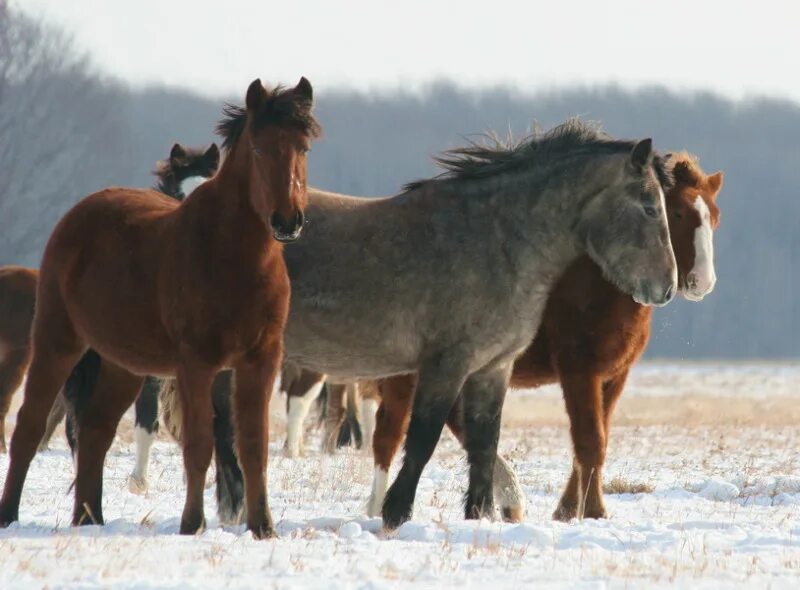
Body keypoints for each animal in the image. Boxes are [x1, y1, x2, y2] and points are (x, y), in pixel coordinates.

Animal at [0, 78, 318, 540]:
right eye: (259, 149)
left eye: (304, 147)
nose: (287, 221)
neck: (232, 258)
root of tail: (78, 215)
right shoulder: (196, 363)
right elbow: (199, 443)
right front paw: (192, 524)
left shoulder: (260, 360)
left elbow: (253, 446)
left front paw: (263, 527)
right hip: (56, 342)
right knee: (29, 425)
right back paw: (10, 514)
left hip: (123, 365)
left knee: (95, 430)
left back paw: (89, 518)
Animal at [366, 151, 720, 524]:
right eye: (677, 212)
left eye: (715, 217)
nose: (701, 282)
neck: (595, 284)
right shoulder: (579, 372)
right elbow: (589, 441)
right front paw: (593, 511)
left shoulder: (613, 376)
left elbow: (598, 439)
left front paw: (567, 508)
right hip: (408, 374)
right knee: (388, 435)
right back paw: (379, 508)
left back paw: (508, 497)